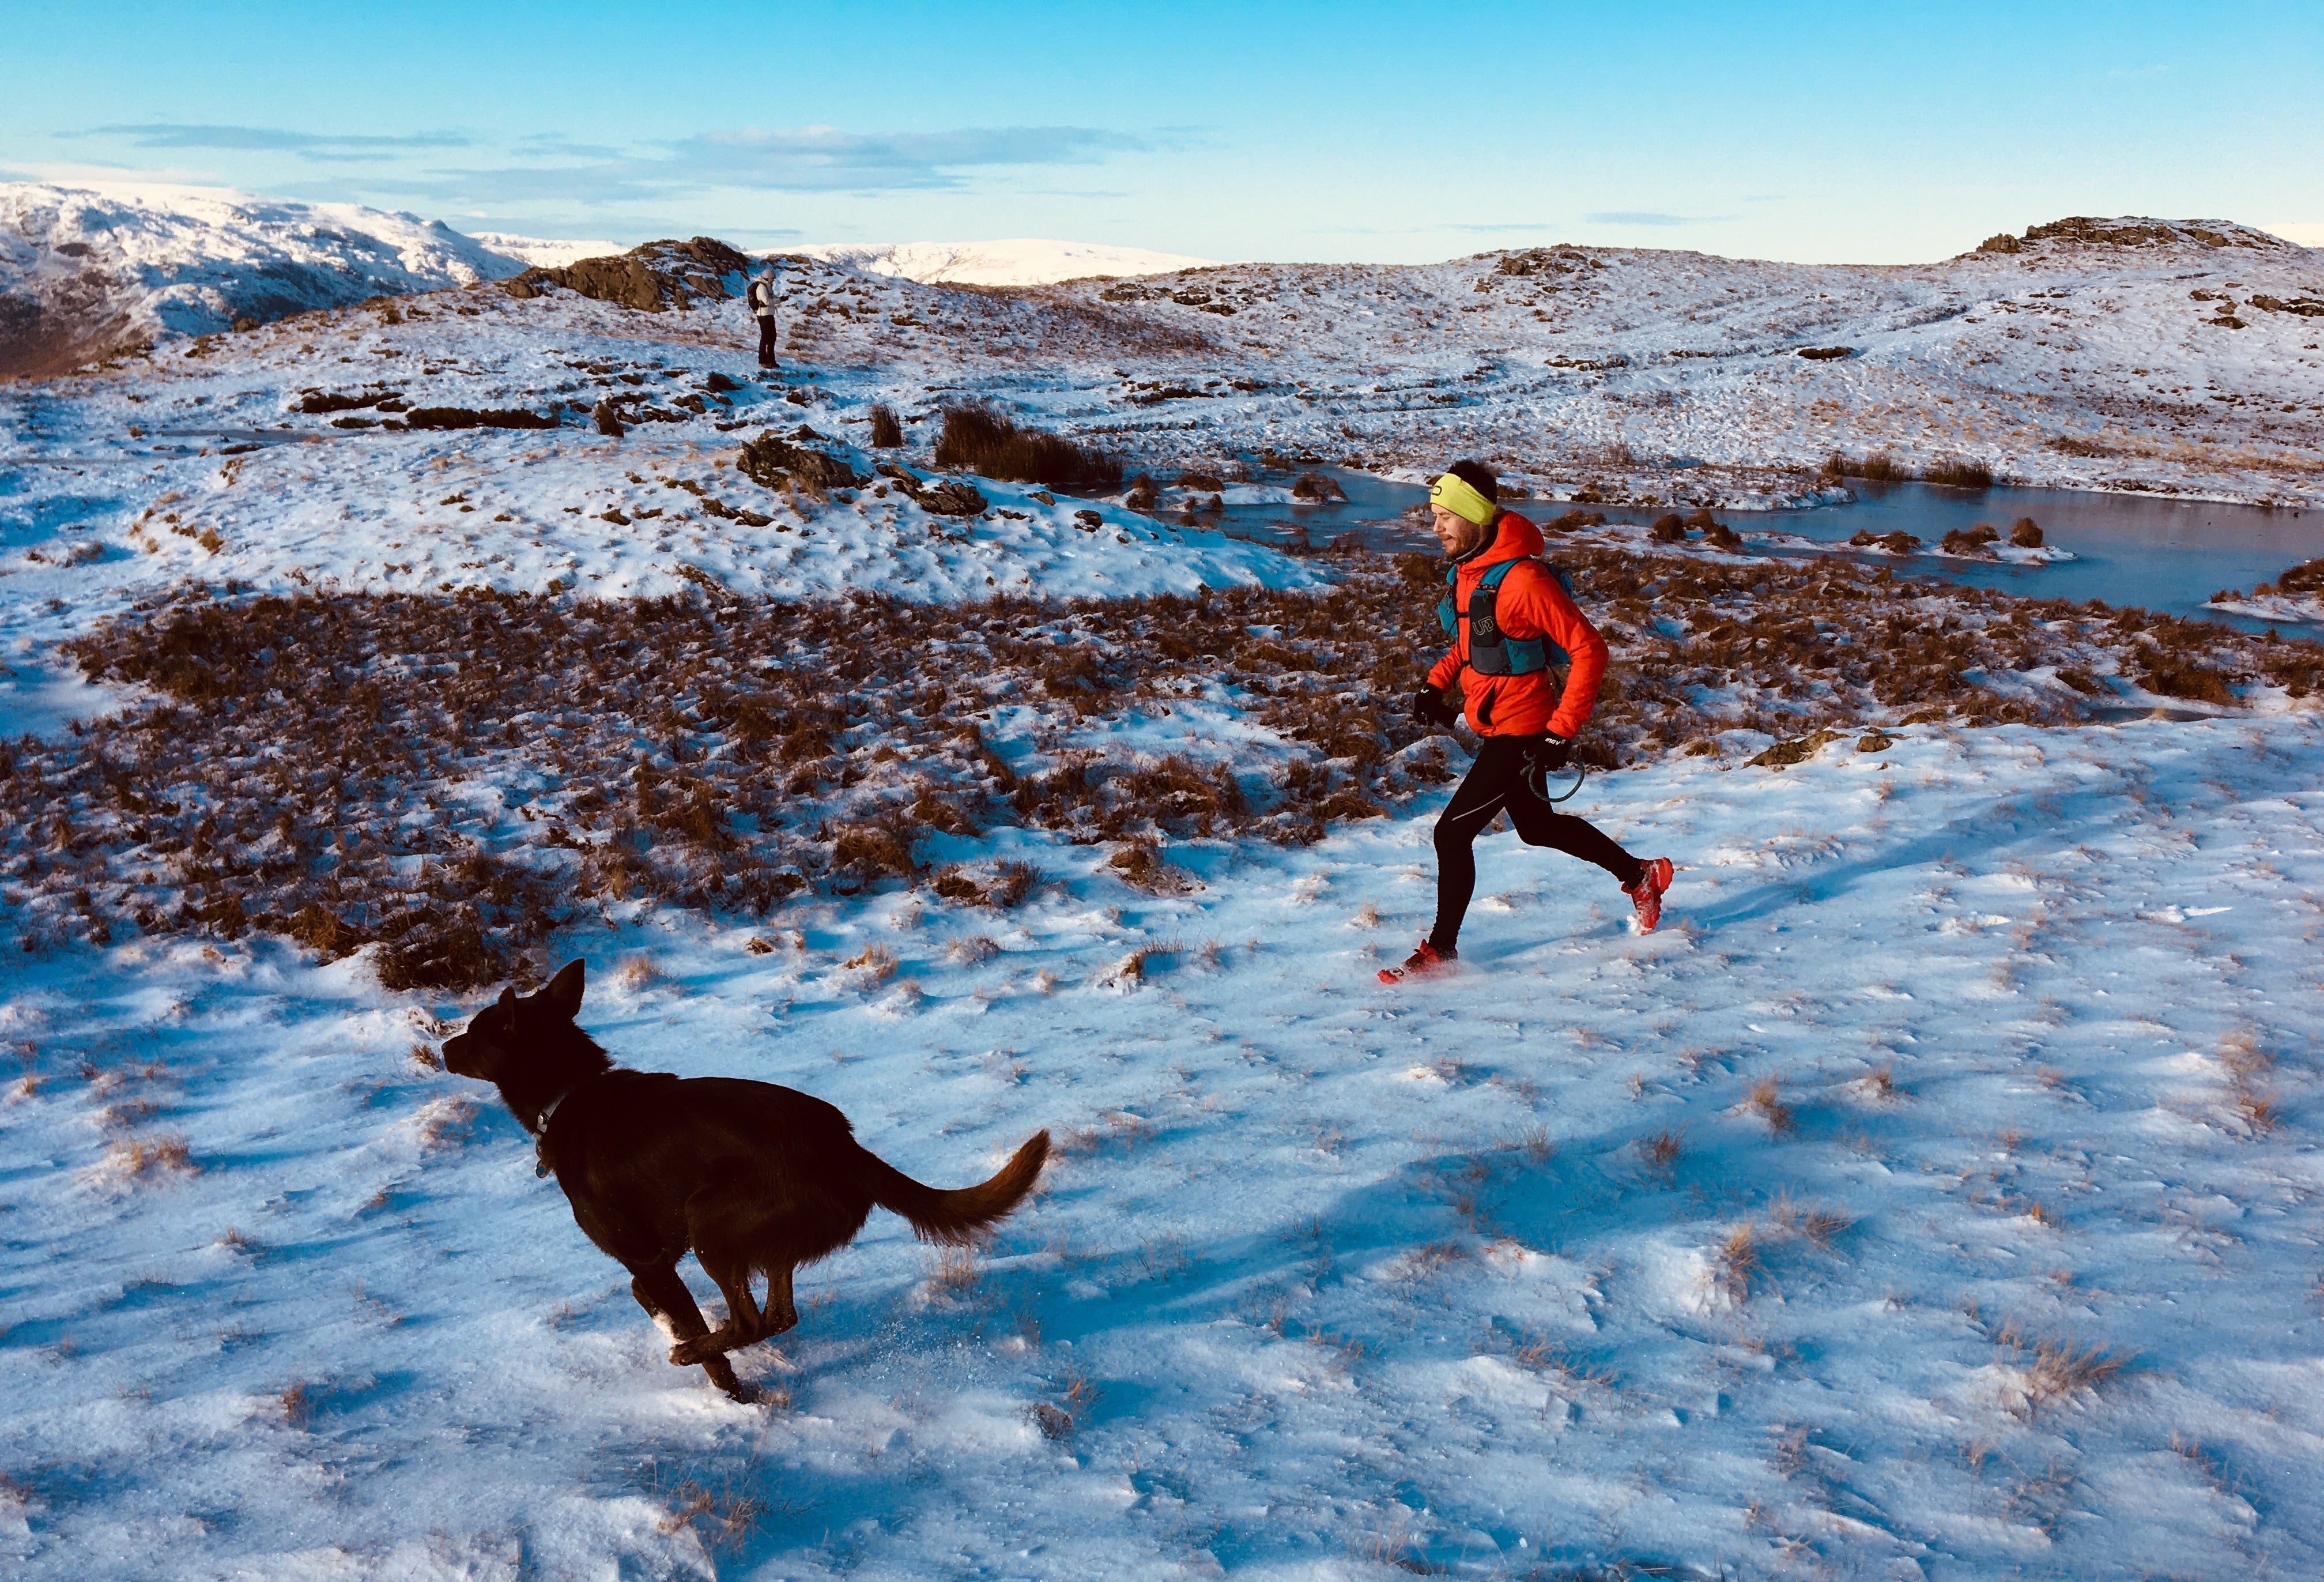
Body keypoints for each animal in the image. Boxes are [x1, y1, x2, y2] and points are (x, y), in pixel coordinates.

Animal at [437, 962, 1055, 1393]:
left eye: (473, 1032)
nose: (442, 1047)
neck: (569, 1094)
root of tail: (843, 1148)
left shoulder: (648, 1257)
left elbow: (681, 1318)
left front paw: (729, 1392)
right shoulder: (661, 1255)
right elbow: (653, 1297)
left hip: (712, 1222)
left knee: (751, 1320)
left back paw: (691, 1354)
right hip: (760, 1234)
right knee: (780, 1315)